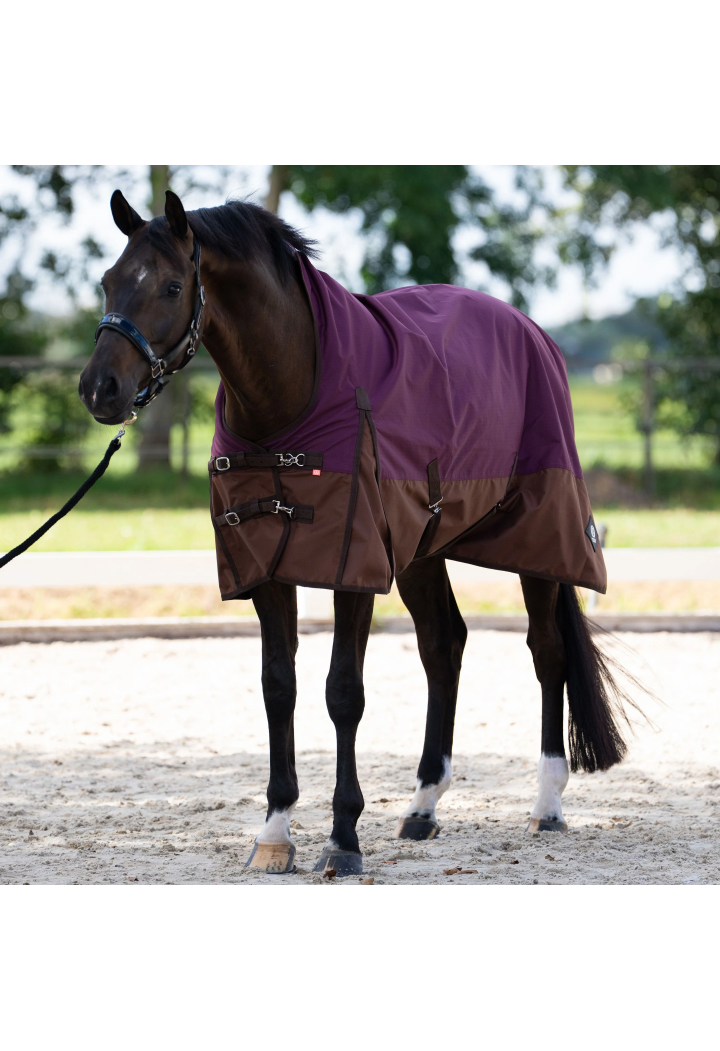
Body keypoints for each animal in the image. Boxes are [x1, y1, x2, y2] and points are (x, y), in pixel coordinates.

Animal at [78, 188, 635, 877]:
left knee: (546, 650)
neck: (289, 399)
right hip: (423, 547)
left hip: (542, 538)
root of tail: (531, 331)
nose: (98, 389)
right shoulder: (268, 567)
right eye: (108, 280)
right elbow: (279, 688)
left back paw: (548, 804)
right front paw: (275, 833)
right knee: (443, 645)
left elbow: (343, 692)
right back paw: (423, 805)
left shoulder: (354, 567)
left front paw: (342, 839)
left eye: (172, 285)